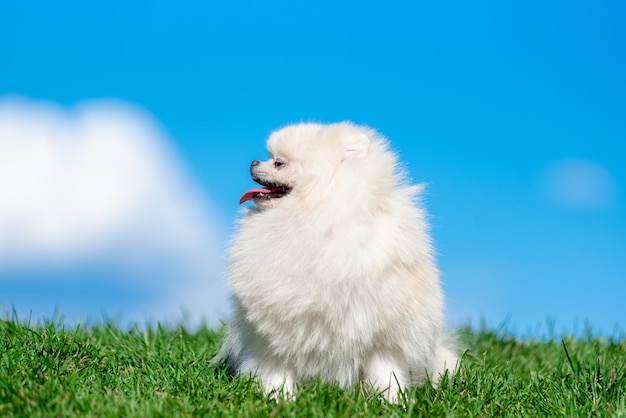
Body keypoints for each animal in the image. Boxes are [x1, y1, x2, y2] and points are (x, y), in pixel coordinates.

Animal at [217, 121, 456, 402]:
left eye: (279, 163)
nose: (253, 162)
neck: (314, 216)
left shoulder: (381, 332)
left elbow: (385, 370)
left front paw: (392, 401)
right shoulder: (277, 328)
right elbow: (278, 368)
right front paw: (280, 398)